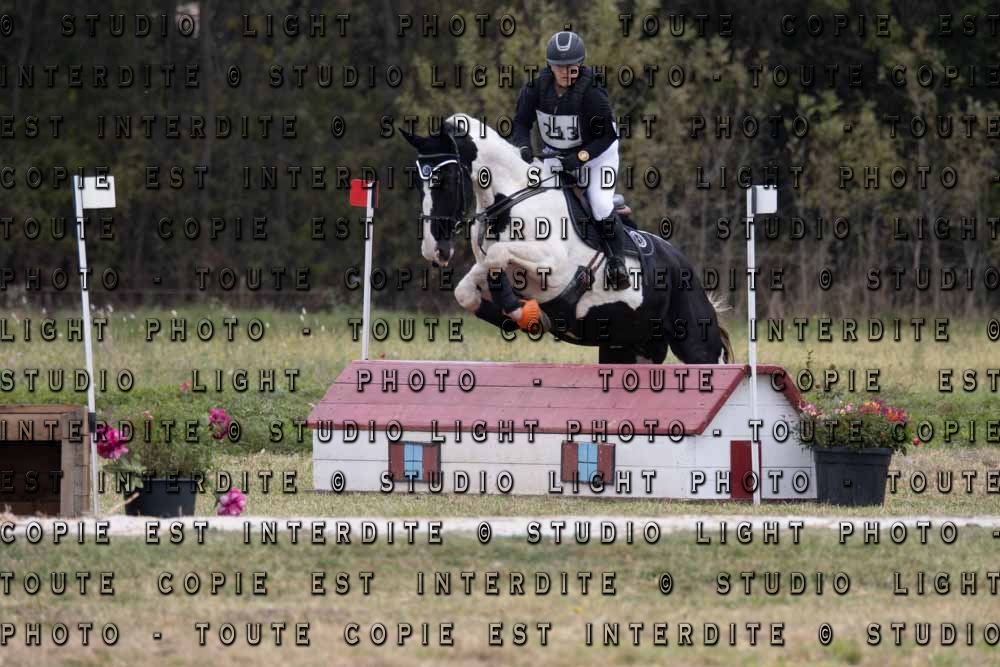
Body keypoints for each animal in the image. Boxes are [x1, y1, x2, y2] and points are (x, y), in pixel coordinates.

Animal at [402, 113, 734, 365]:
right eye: (418, 182)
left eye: (445, 180)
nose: (434, 251)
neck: (508, 199)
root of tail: (684, 265)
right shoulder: (491, 265)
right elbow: (468, 289)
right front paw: (522, 316)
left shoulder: (553, 265)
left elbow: (498, 255)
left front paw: (524, 311)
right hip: (628, 347)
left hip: (696, 343)